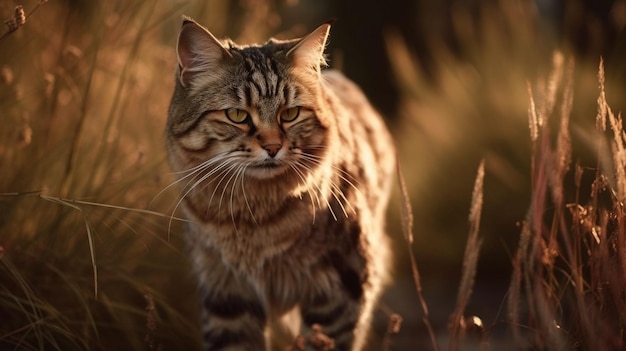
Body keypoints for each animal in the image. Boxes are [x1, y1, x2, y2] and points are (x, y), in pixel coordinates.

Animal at [163, 17, 392, 351]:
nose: (272, 147)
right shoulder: (227, 296)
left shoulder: (341, 293)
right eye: (237, 115)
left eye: (290, 113)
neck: (254, 217)